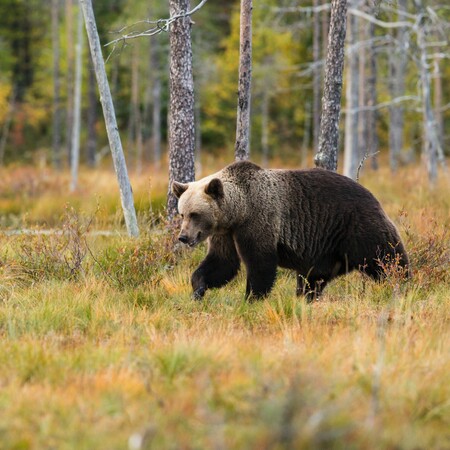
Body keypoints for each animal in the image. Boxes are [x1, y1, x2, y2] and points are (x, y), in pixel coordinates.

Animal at [171, 160, 408, 300]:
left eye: (195, 214)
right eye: (182, 213)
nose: (183, 237)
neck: (238, 211)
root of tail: (372, 195)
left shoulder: (259, 221)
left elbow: (260, 264)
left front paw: (251, 298)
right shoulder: (226, 233)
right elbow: (222, 263)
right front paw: (198, 289)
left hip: (356, 226)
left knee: (386, 257)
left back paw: (403, 284)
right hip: (325, 250)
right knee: (312, 279)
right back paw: (305, 298)